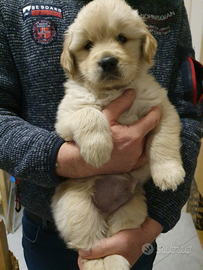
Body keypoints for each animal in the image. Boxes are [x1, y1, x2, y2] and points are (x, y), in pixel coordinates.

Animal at [51, 1, 186, 268]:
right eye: (88, 45)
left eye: (122, 38)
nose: (108, 61)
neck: (114, 90)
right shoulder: (66, 115)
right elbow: (90, 113)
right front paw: (98, 150)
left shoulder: (162, 108)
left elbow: (163, 142)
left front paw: (169, 173)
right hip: (76, 207)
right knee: (91, 247)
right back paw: (105, 261)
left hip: (130, 210)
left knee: (116, 239)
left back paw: (117, 260)